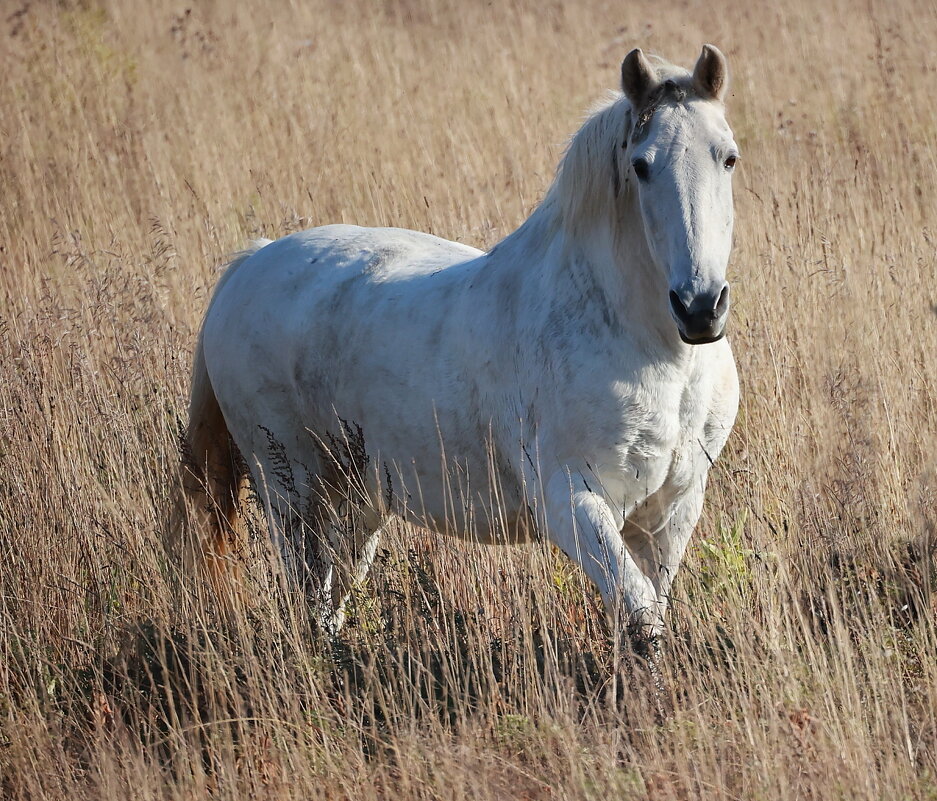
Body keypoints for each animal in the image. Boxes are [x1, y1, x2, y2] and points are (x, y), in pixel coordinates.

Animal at [181, 45, 740, 644]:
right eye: (641, 165)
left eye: (728, 158)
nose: (700, 307)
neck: (659, 357)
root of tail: (248, 264)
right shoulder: (575, 500)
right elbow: (640, 619)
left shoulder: (671, 512)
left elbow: (647, 609)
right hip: (292, 495)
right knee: (307, 598)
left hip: (357, 503)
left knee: (331, 602)